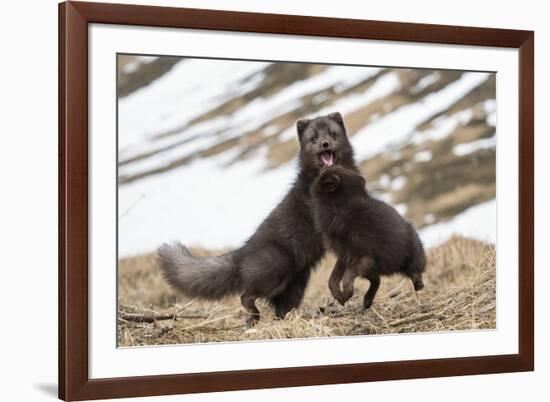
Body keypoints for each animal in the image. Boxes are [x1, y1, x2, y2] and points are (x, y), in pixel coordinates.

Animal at [310, 166, 426, 308]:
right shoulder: (344, 255)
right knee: (377, 280)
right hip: (371, 269)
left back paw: (416, 284)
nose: (324, 166)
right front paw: (340, 297)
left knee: (414, 275)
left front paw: (347, 293)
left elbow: (347, 275)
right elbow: (332, 279)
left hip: (406, 259)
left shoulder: (366, 255)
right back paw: (367, 301)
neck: (342, 207)